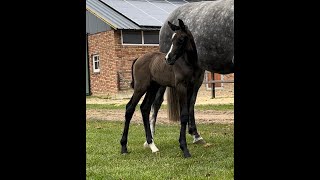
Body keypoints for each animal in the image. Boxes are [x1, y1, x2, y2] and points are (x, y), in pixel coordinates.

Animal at [121, 19, 201, 158]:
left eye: (181, 39)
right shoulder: (181, 87)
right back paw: (124, 147)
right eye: (172, 39)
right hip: (141, 87)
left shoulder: (192, 88)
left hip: (153, 87)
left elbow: (188, 111)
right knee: (130, 108)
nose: (168, 59)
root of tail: (138, 58)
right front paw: (184, 148)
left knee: (145, 108)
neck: (189, 63)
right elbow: (183, 115)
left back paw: (152, 145)